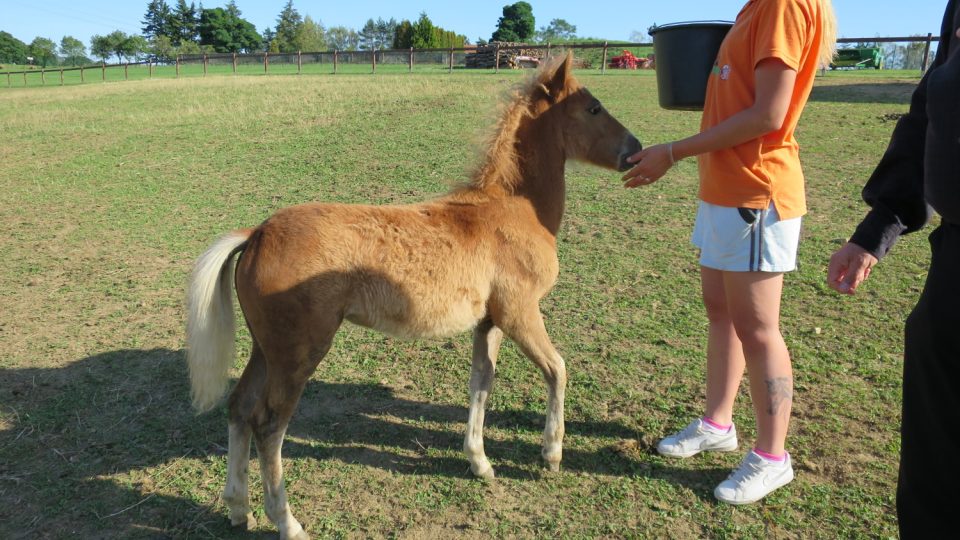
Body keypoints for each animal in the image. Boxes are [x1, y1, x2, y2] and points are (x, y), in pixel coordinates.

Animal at [186, 56, 636, 540]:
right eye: (593, 108)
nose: (635, 148)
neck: (512, 209)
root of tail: (258, 233)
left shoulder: (489, 322)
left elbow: (481, 383)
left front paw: (479, 461)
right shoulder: (520, 312)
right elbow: (557, 370)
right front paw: (551, 453)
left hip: (266, 348)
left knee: (240, 408)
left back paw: (238, 507)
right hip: (297, 353)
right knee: (269, 426)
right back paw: (287, 521)